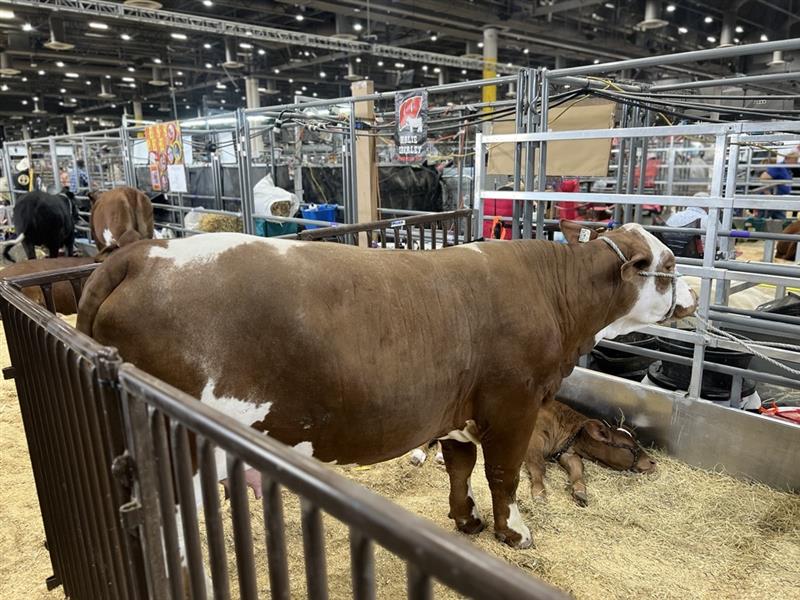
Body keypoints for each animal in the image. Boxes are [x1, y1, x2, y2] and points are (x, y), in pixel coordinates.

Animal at [76, 221, 697, 548]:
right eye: (667, 265)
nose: (692, 292)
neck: (554, 294)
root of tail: (138, 256)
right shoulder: (513, 404)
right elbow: (504, 475)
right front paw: (513, 531)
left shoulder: (458, 410)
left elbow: (459, 467)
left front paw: (466, 521)